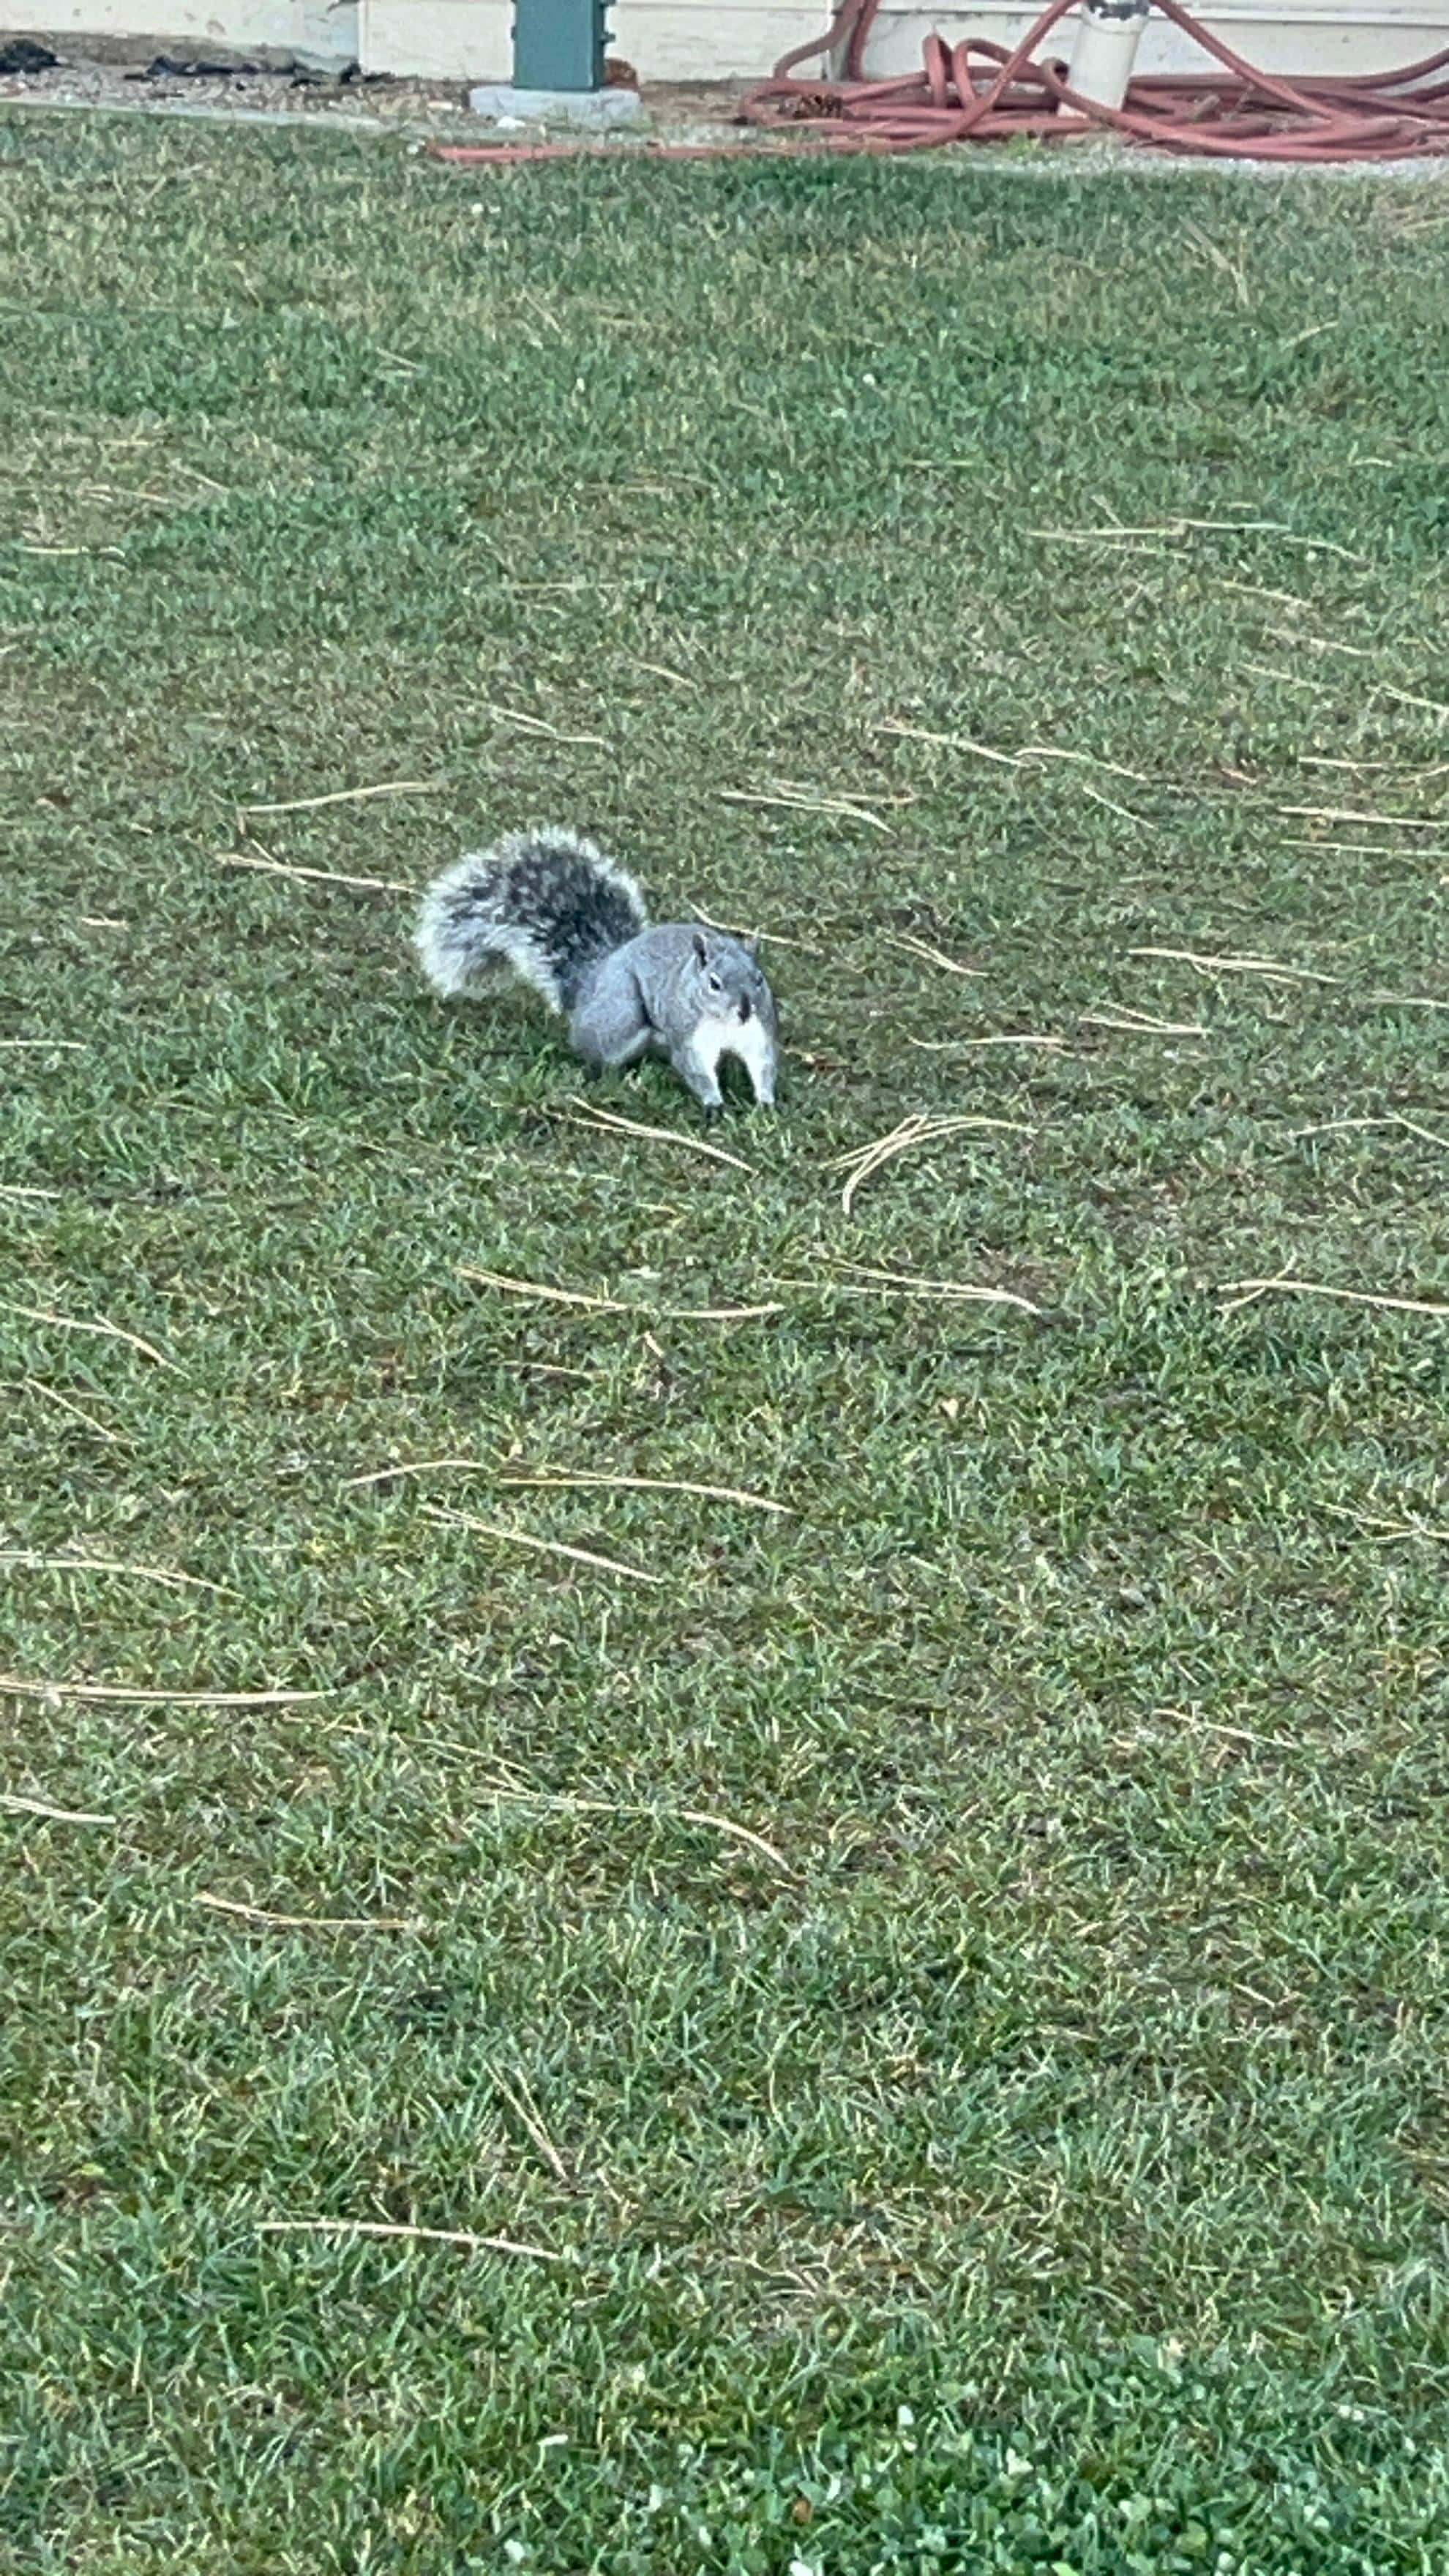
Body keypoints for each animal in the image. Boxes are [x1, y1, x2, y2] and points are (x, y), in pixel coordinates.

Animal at [414, 826, 778, 1116]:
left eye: (760, 979)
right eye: (714, 983)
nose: (745, 1010)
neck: (726, 1025)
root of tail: (591, 980)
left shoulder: (759, 1032)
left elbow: (763, 1063)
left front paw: (765, 1102)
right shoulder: (690, 1035)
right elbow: (696, 1068)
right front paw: (714, 1103)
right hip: (621, 1012)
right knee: (593, 1049)